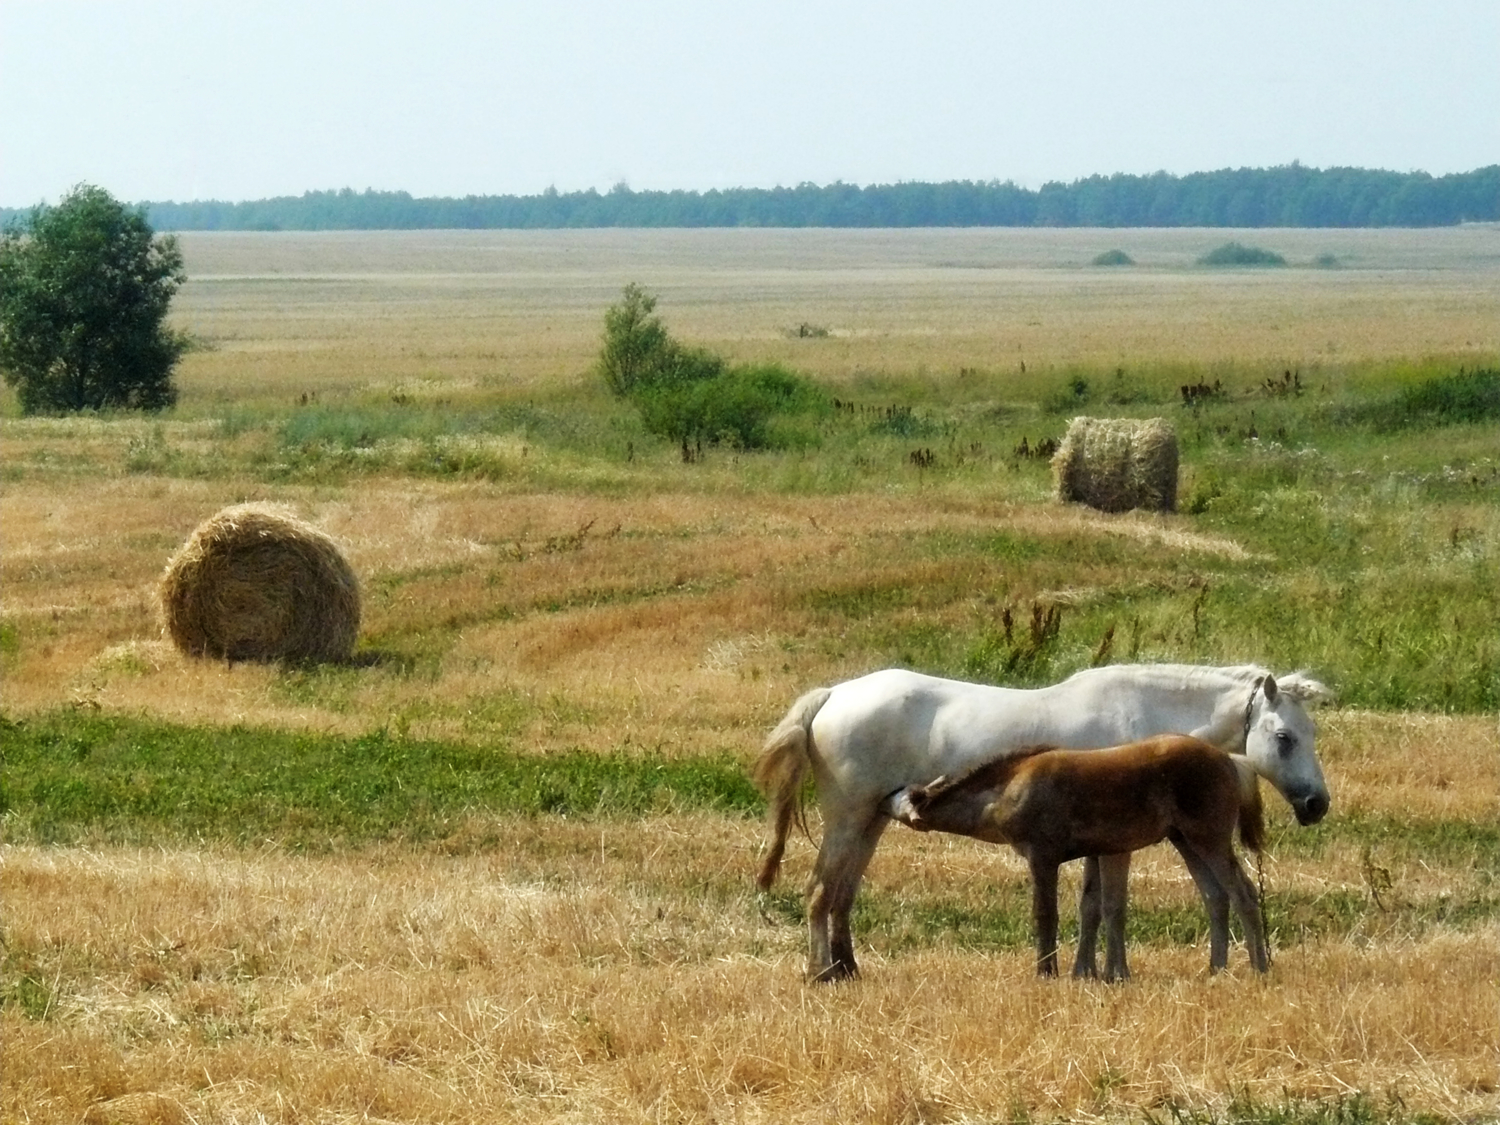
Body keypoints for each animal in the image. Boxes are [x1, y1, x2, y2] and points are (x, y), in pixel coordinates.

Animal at [756, 666, 1332, 984]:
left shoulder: (1096, 842)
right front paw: (1098, 973)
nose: (1317, 803)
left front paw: (1086, 972)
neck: (1139, 713)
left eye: (1310, 734)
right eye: (1284, 737)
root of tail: (835, 694)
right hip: (847, 816)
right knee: (819, 892)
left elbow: (1090, 907)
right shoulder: (1111, 844)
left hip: (870, 820)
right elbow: (1104, 906)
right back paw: (821, 973)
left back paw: (846, 968)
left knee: (842, 895)